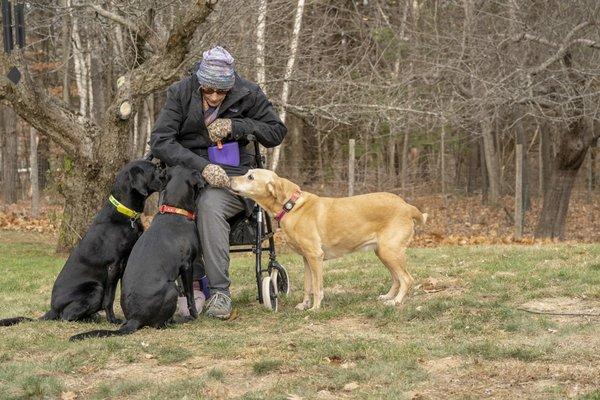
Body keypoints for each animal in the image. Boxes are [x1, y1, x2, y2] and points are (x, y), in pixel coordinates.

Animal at [0, 158, 164, 326]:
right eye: (155, 169)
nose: (166, 176)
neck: (125, 213)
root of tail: (52, 309)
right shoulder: (113, 266)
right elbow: (109, 298)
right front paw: (112, 320)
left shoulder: (125, 263)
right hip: (95, 288)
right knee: (66, 316)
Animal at [71, 166, 204, 340]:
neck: (174, 212)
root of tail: (135, 318)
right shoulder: (187, 265)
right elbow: (189, 295)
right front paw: (194, 315)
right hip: (171, 289)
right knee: (159, 324)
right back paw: (177, 321)